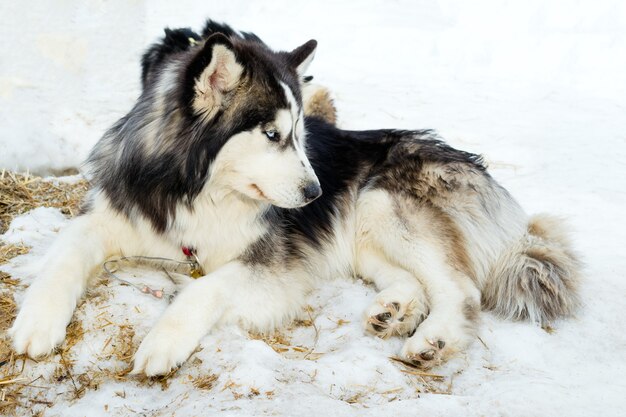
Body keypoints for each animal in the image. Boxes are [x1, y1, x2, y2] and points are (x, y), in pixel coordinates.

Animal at [9, 22, 576, 376]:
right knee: (414, 280)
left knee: (461, 289)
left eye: (300, 132)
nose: (316, 192)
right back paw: (393, 310)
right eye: (271, 134)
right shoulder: (110, 215)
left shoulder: (269, 263)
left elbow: (203, 288)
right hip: (362, 234)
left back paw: (431, 339)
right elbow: (64, 254)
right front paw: (36, 323)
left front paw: (162, 341)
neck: (196, 190)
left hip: (381, 201)